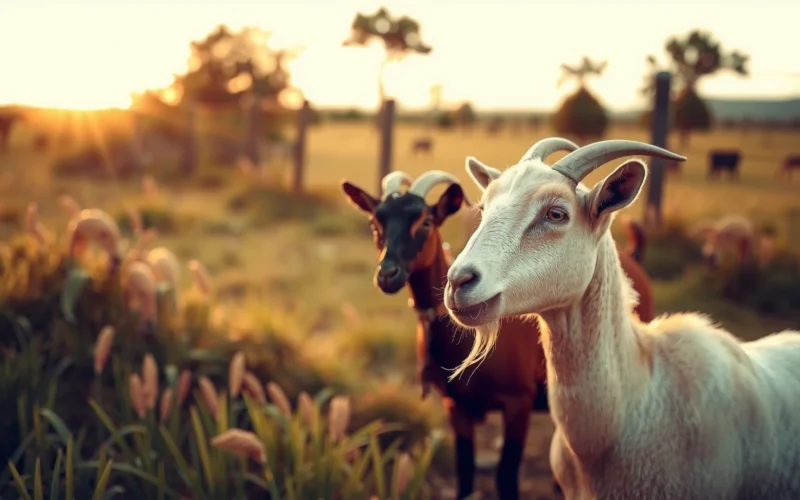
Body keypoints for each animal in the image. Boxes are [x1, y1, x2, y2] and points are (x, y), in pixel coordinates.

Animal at [341, 160, 655, 499]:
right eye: (375, 223)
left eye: (426, 222)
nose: (388, 275)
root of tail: (633, 256)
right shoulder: (456, 405)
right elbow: (465, 471)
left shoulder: (518, 401)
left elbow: (506, 475)